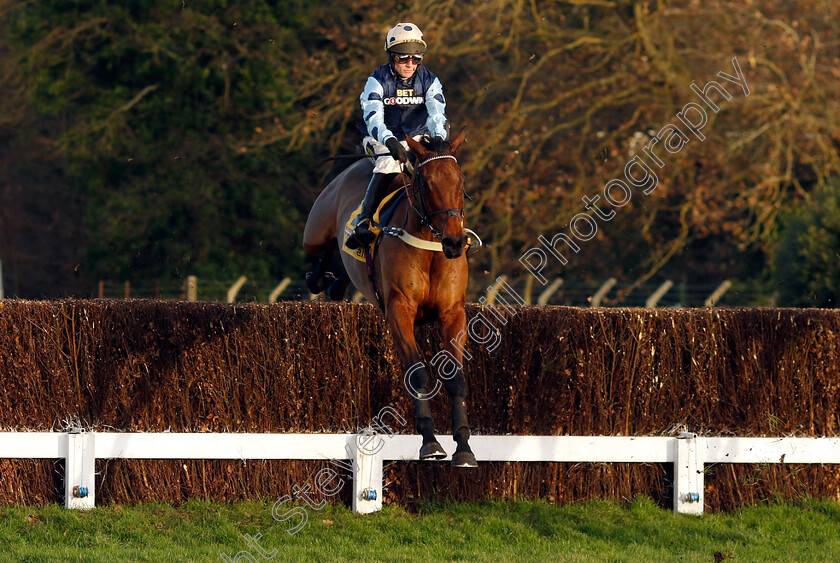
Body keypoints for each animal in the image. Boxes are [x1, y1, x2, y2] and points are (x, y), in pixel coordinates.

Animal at [302, 131, 476, 468]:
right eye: (426, 184)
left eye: (460, 180)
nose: (454, 241)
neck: (430, 245)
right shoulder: (399, 310)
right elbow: (417, 373)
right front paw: (430, 442)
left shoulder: (453, 313)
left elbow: (456, 377)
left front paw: (463, 446)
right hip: (314, 234)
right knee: (323, 253)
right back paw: (323, 273)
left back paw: (335, 284)